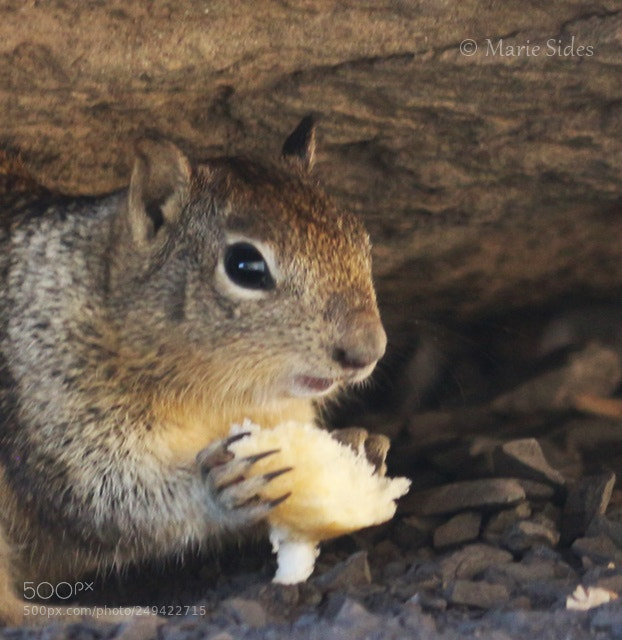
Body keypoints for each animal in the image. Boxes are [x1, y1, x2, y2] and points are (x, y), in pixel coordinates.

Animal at [0, 116, 387, 625]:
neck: (211, 393)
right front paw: (216, 489)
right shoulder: (48, 399)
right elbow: (104, 497)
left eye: (361, 242)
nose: (368, 350)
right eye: (245, 266)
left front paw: (361, 446)